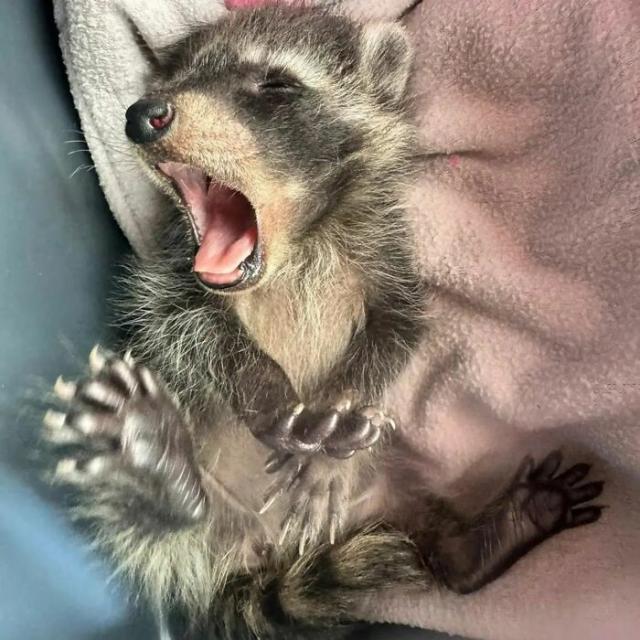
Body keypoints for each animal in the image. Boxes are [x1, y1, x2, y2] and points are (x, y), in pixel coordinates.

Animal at [43, 5, 604, 639]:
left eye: (275, 85)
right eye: (171, 81)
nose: (144, 115)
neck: (297, 243)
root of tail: (254, 557)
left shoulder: (390, 257)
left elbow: (396, 331)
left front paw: (333, 437)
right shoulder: (169, 275)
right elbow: (185, 326)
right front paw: (265, 391)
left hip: (398, 490)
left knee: (432, 548)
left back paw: (488, 537)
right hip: (176, 519)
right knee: (153, 527)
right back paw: (160, 468)